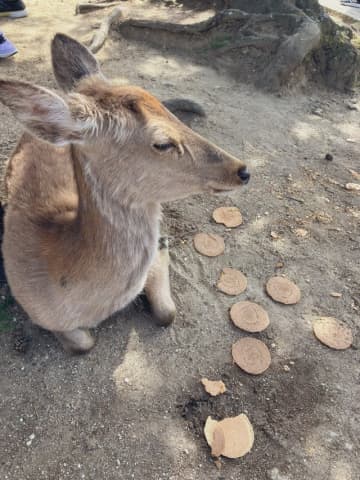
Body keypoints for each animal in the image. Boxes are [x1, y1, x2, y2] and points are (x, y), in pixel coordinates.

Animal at [0, 33, 250, 352]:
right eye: (162, 143)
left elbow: (167, 312)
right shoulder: (34, 308)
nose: (243, 170)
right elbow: (83, 343)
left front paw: (163, 244)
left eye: (170, 113)